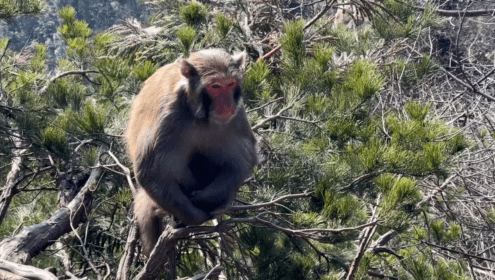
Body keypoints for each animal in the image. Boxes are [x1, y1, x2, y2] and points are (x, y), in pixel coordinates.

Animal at [126, 48, 258, 256]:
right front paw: (196, 216)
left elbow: (243, 159)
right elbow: (151, 171)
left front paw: (206, 199)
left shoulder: (237, 113)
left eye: (230, 84)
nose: (227, 104)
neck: (198, 114)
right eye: (215, 86)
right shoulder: (169, 115)